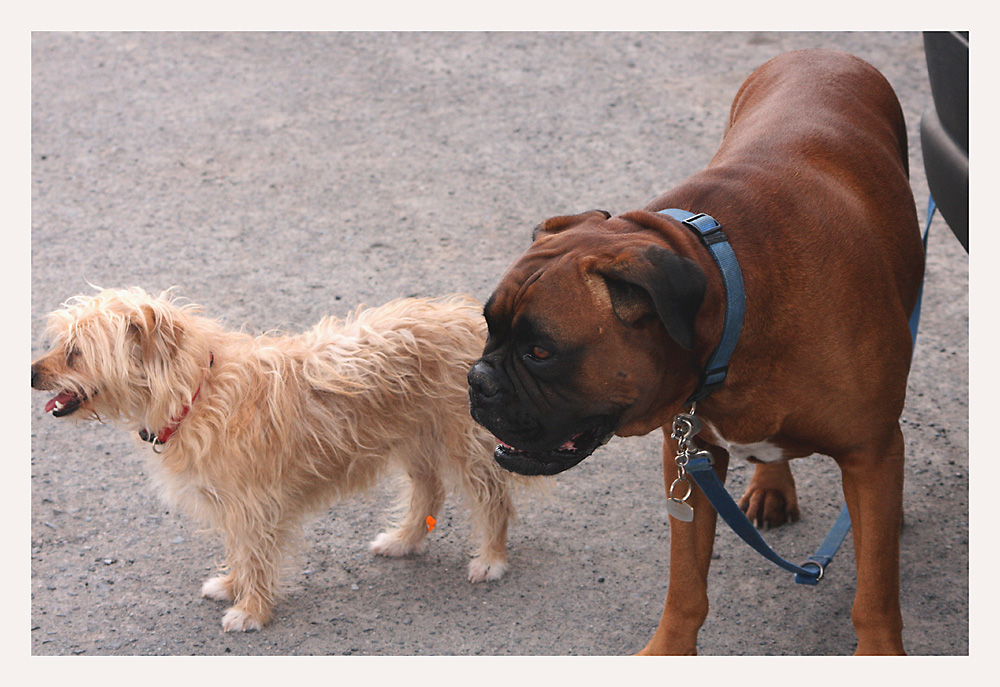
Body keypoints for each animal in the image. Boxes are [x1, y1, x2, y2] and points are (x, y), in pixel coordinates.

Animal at [31, 288, 516, 632]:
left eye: (75, 352)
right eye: (62, 345)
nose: (31, 373)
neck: (198, 393)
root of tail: (469, 321)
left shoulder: (254, 505)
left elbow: (257, 556)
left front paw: (252, 609)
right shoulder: (233, 504)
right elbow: (240, 552)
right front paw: (232, 585)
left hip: (463, 445)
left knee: (494, 499)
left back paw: (491, 558)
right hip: (415, 440)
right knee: (429, 491)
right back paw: (406, 539)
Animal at [468, 49, 920, 656]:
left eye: (541, 351)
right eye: (488, 327)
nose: (477, 380)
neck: (735, 295)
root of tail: (820, 50)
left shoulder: (869, 455)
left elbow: (873, 595)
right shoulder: (689, 459)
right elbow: (685, 584)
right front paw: (669, 650)